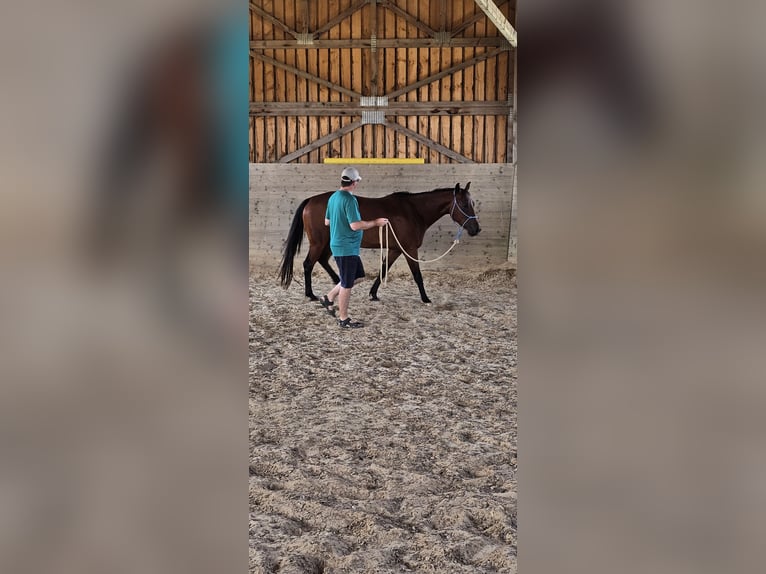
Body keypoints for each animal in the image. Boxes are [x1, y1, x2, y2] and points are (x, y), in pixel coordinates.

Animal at [279, 182, 480, 304]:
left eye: (472, 203)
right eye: (464, 204)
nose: (476, 229)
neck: (413, 211)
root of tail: (310, 200)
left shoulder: (395, 249)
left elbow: (384, 269)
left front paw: (373, 294)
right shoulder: (409, 249)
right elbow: (417, 275)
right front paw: (426, 299)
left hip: (329, 242)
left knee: (322, 261)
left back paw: (338, 281)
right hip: (319, 243)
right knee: (308, 264)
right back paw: (310, 294)